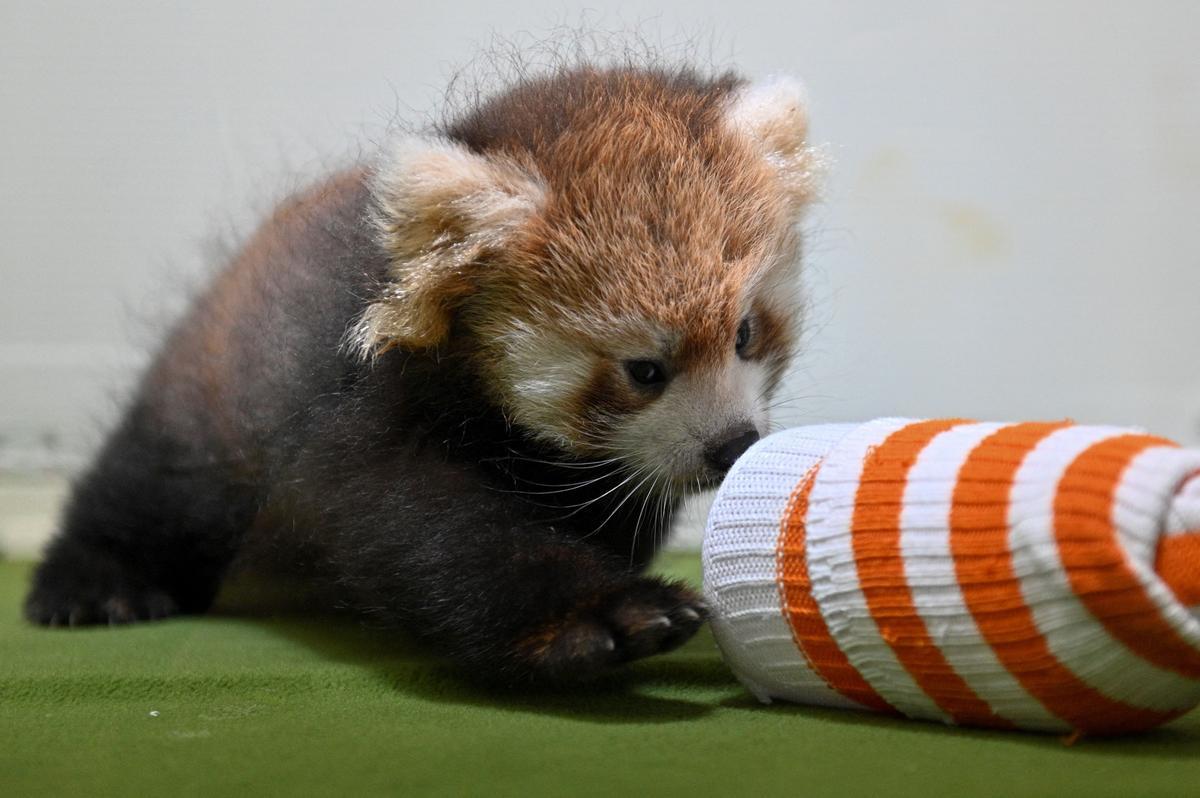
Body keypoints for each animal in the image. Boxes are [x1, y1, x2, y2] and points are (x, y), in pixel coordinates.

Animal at [25, 63, 816, 686]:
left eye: (745, 333)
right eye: (644, 370)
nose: (731, 445)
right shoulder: (361, 396)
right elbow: (413, 522)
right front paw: (596, 617)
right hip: (216, 400)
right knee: (156, 488)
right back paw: (93, 584)